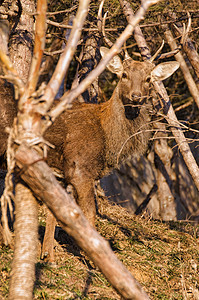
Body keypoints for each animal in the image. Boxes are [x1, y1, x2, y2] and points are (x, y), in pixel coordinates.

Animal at [39, 46, 180, 262]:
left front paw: (48, 256)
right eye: (124, 75)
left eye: (148, 78)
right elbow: (89, 214)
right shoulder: (78, 168)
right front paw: (93, 259)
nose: (136, 96)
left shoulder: (59, 171)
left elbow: (54, 210)